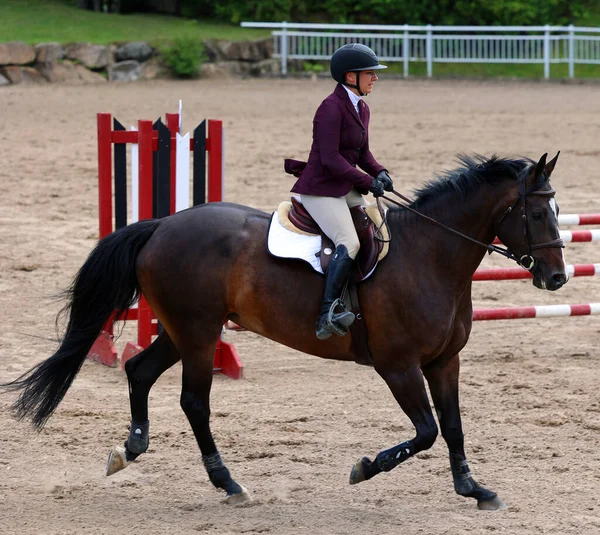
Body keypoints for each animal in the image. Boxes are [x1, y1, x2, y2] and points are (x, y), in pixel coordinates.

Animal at [2, 152, 568, 510]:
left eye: (557, 211)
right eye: (539, 212)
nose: (557, 278)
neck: (430, 256)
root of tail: (162, 225)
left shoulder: (443, 361)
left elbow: (452, 427)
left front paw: (475, 490)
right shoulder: (399, 366)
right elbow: (426, 431)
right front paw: (366, 467)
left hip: (181, 330)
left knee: (140, 370)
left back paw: (131, 448)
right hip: (199, 333)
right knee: (194, 401)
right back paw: (229, 483)